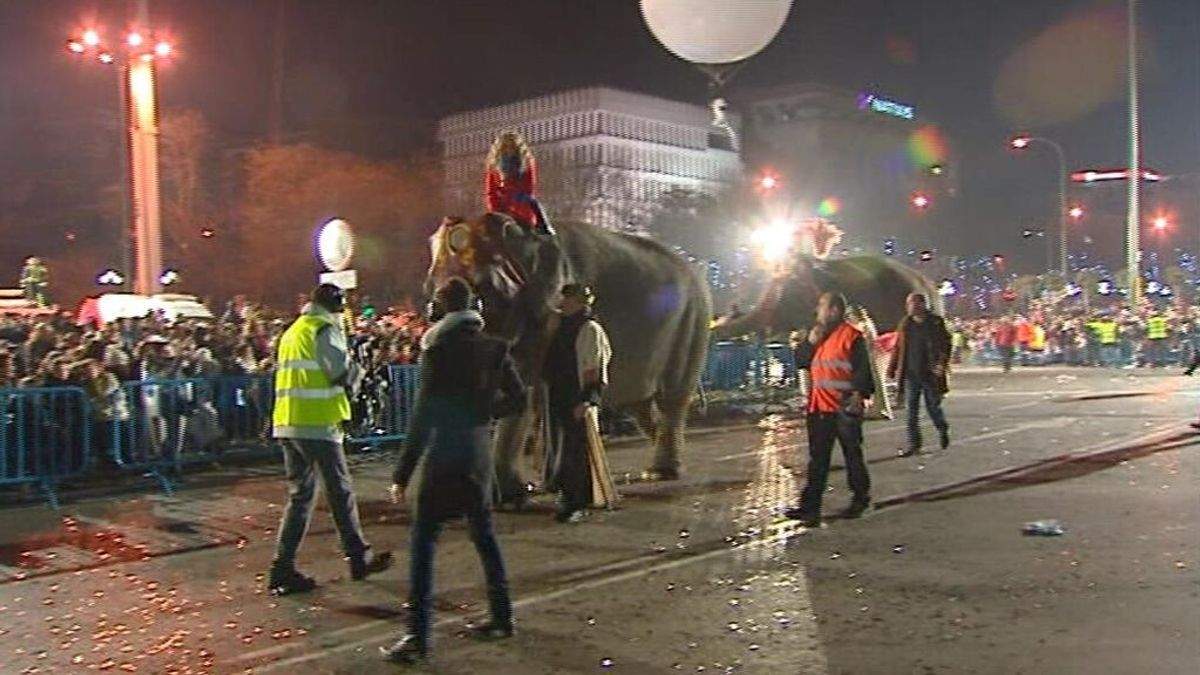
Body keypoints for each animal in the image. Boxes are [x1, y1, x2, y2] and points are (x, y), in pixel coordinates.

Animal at [424, 212, 710, 502]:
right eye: (429, 287)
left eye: (481, 288)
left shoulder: (546, 308)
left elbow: (525, 387)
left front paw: (512, 495)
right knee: (639, 403)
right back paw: (658, 463)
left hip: (693, 321)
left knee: (673, 397)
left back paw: (662, 471)